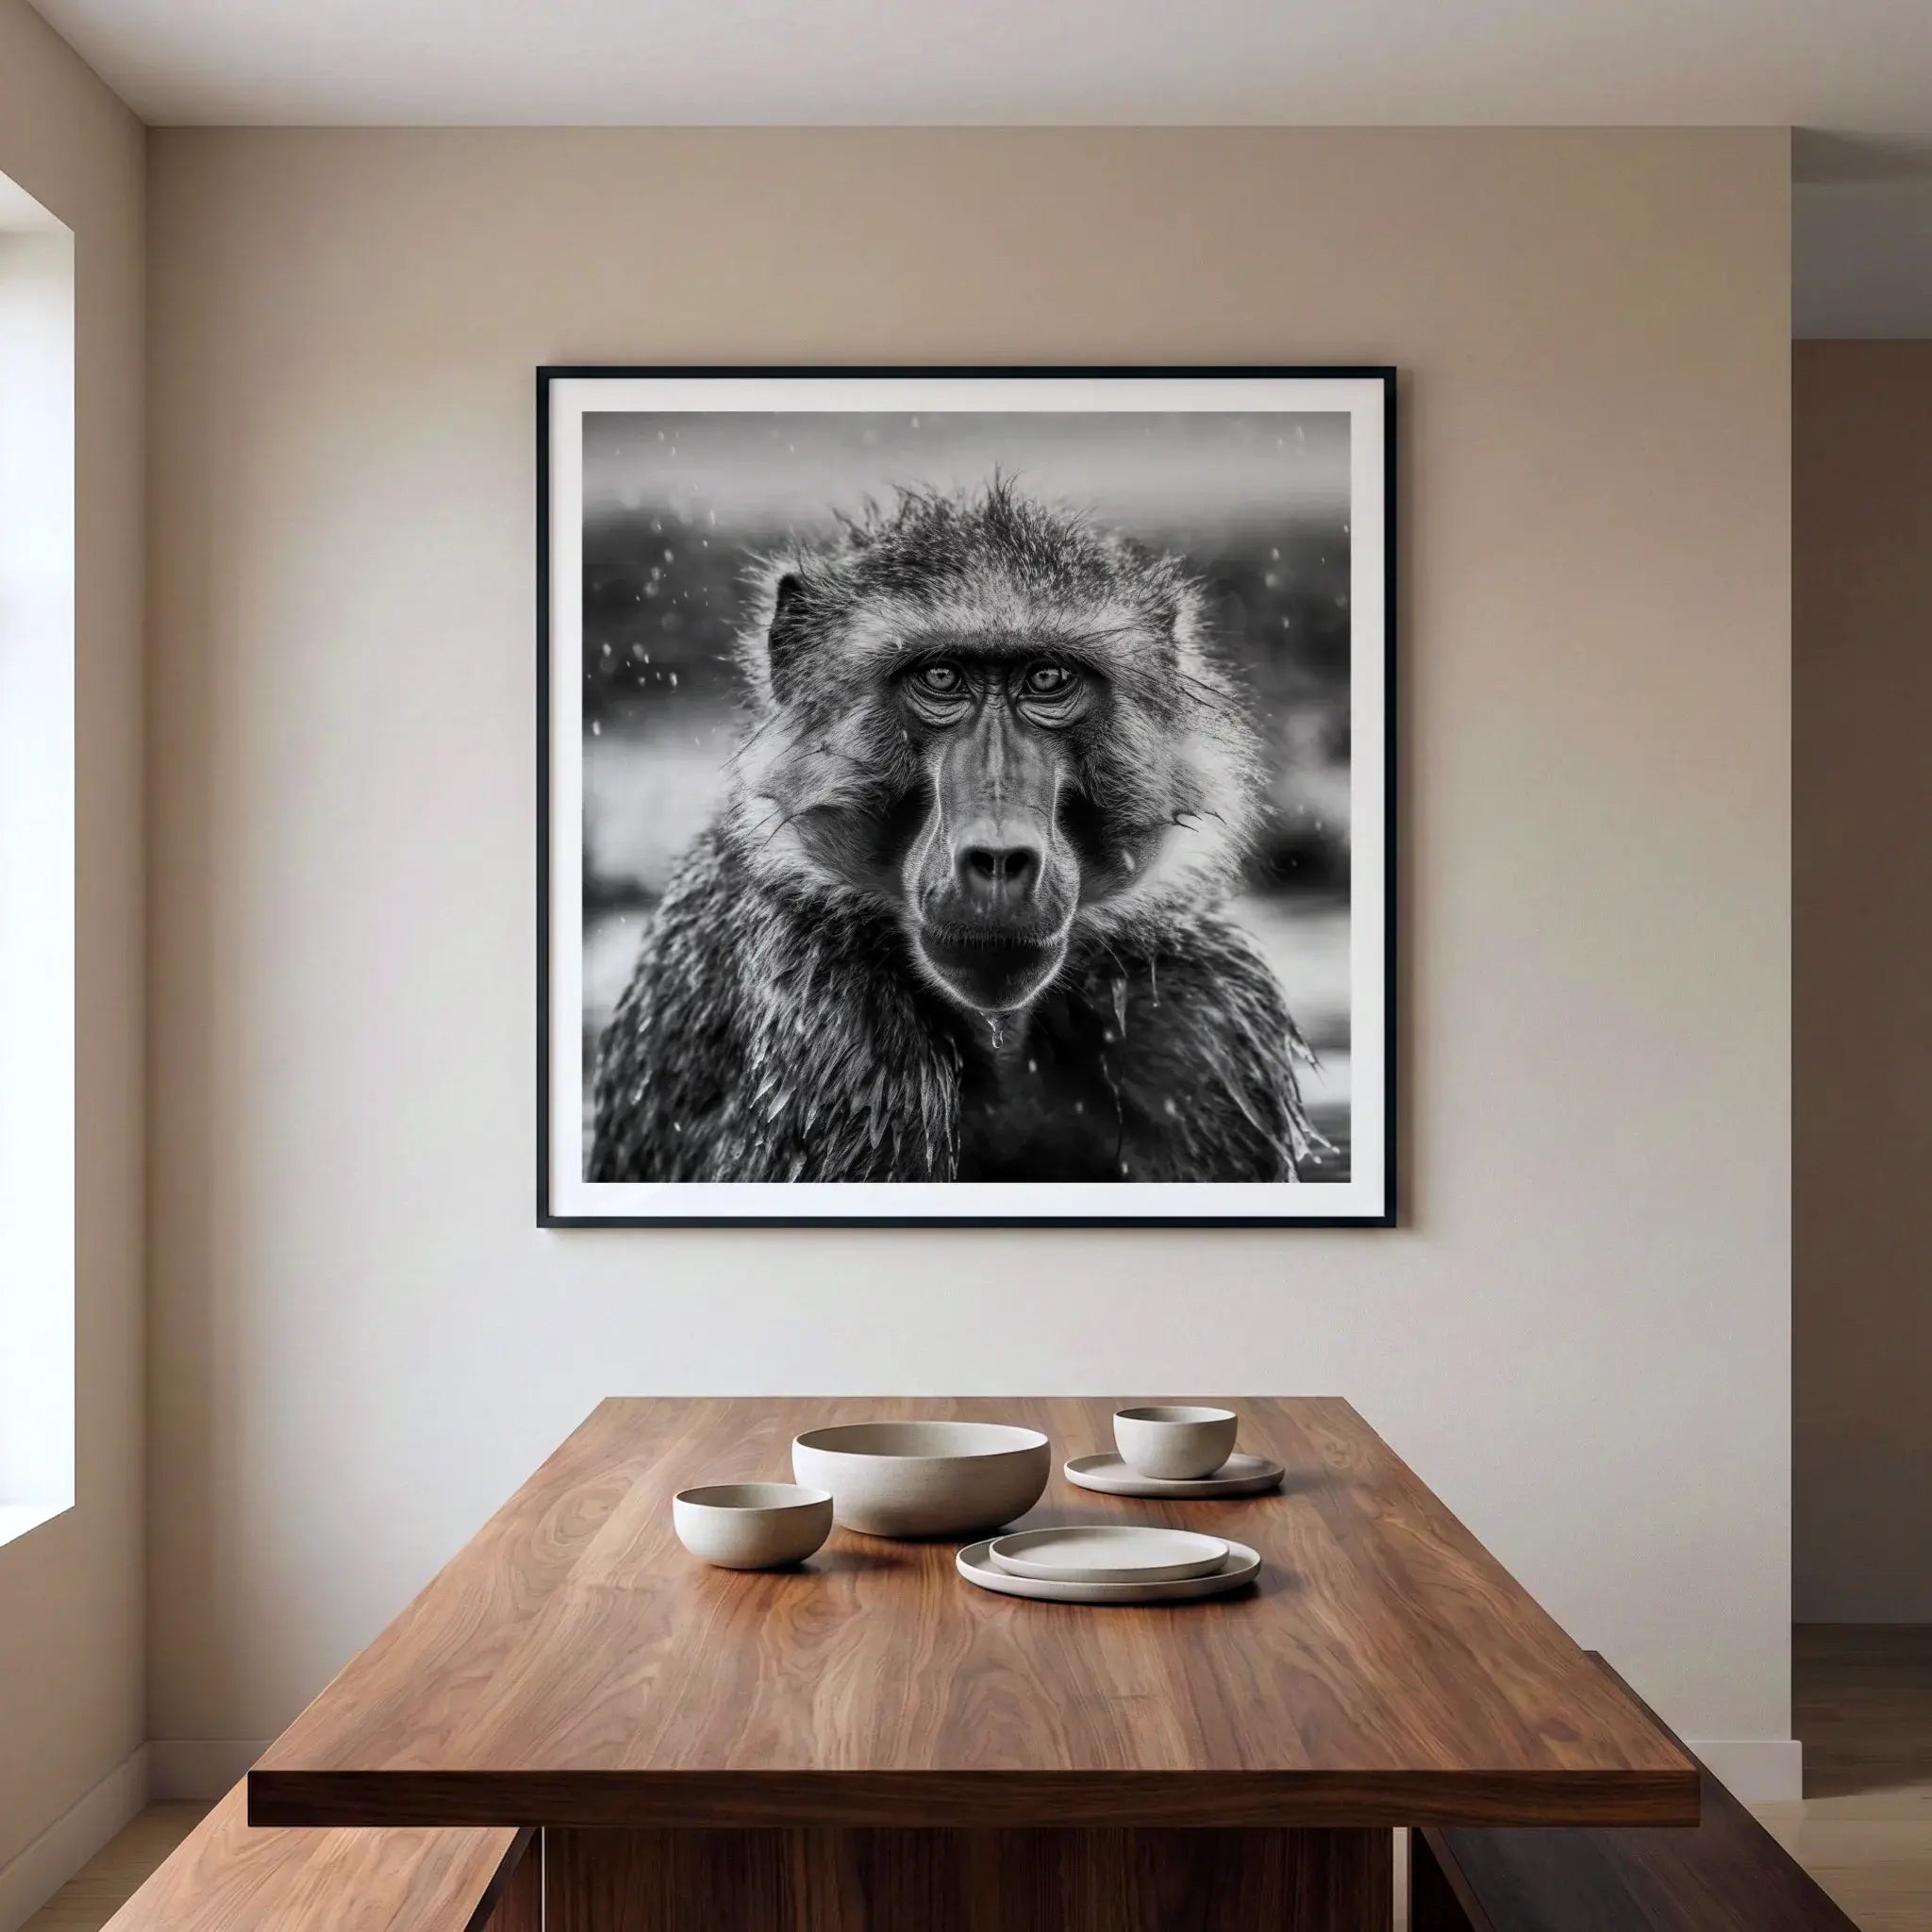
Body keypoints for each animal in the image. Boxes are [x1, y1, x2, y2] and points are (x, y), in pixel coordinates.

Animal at [588, 480, 1323, 1185]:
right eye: (941, 677)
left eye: (1047, 678)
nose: (998, 856)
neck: (1005, 1038)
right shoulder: (833, 1028)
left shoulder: (1201, 1025)